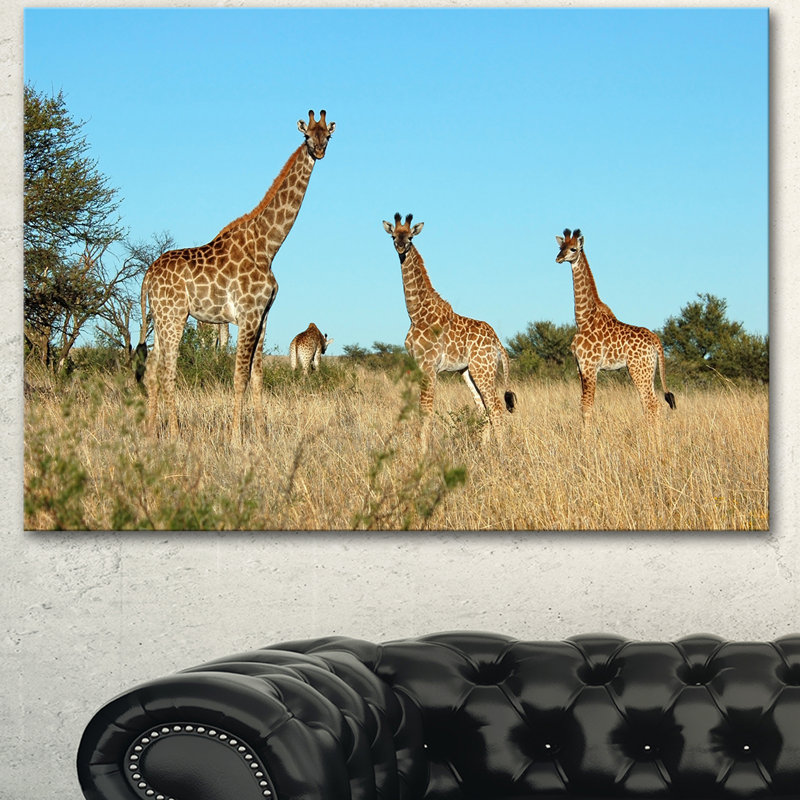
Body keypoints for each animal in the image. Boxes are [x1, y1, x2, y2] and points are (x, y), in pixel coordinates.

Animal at [137, 110, 335, 439]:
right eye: (307, 135)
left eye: (328, 136)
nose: (319, 151)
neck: (267, 246)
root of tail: (147, 276)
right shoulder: (247, 314)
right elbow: (239, 376)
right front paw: (236, 438)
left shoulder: (263, 317)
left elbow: (257, 377)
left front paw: (261, 435)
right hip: (174, 316)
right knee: (167, 370)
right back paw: (175, 433)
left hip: (162, 317)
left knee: (152, 368)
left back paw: (152, 432)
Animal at [383, 213, 516, 446]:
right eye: (393, 236)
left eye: (410, 237)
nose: (400, 246)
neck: (416, 314)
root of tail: (498, 342)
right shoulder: (419, 365)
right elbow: (422, 410)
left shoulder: (428, 366)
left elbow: (426, 410)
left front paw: (422, 451)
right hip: (468, 372)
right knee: (483, 409)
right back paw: (484, 450)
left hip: (484, 369)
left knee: (496, 408)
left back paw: (501, 452)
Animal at [555, 228, 676, 428]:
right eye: (560, 247)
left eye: (573, 249)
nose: (558, 258)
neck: (583, 319)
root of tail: (655, 339)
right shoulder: (580, 368)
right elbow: (583, 405)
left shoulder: (590, 367)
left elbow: (587, 407)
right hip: (648, 370)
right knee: (652, 404)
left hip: (639, 369)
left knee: (651, 403)